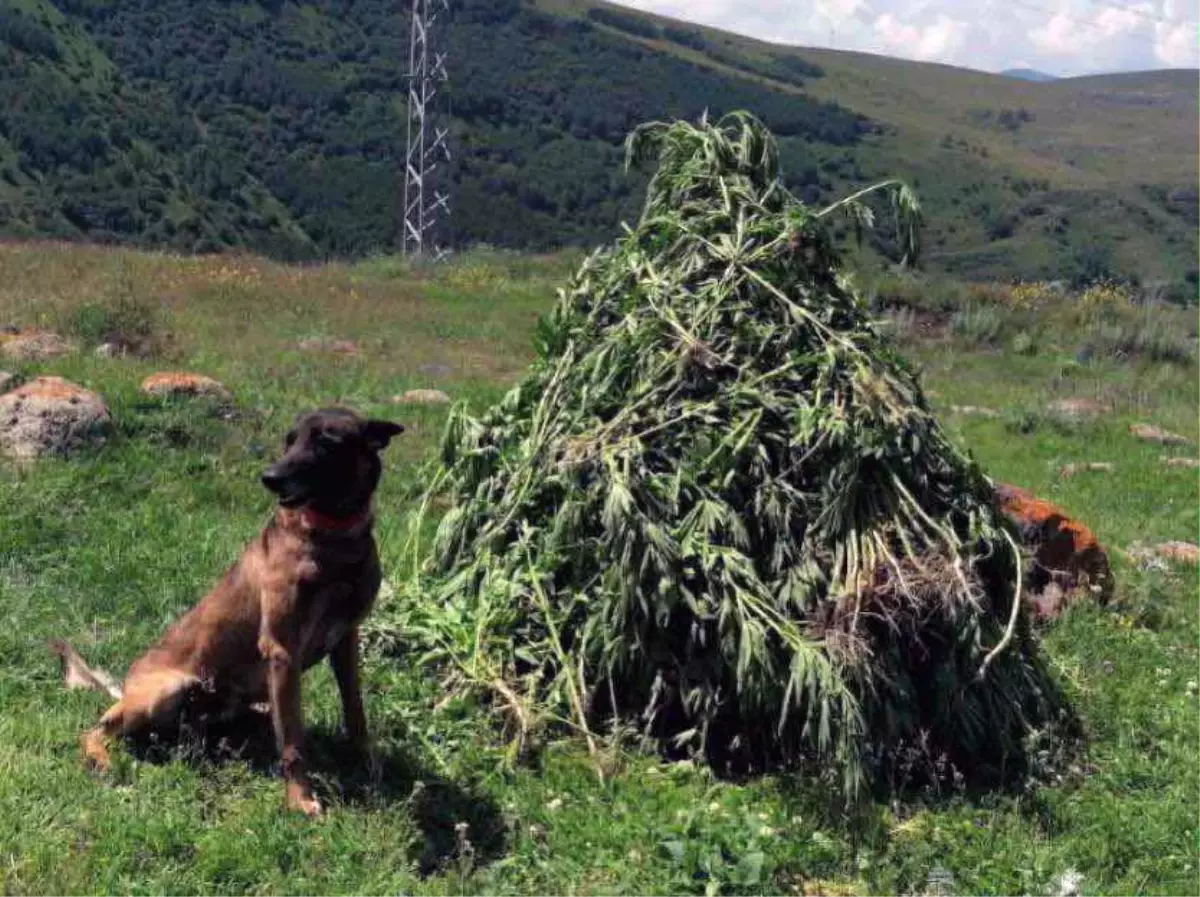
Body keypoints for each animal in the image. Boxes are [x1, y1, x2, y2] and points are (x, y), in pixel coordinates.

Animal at [50, 410, 403, 815]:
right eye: (289, 440)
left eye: (325, 441)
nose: (269, 477)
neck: (336, 540)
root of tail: (124, 687)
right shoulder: (282, 649)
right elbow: (293, 742)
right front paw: (300, 798)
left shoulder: (345, 640)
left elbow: (355, 711)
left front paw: (367, 763)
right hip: (167, 688)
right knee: (93, 731)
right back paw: (104, 760)